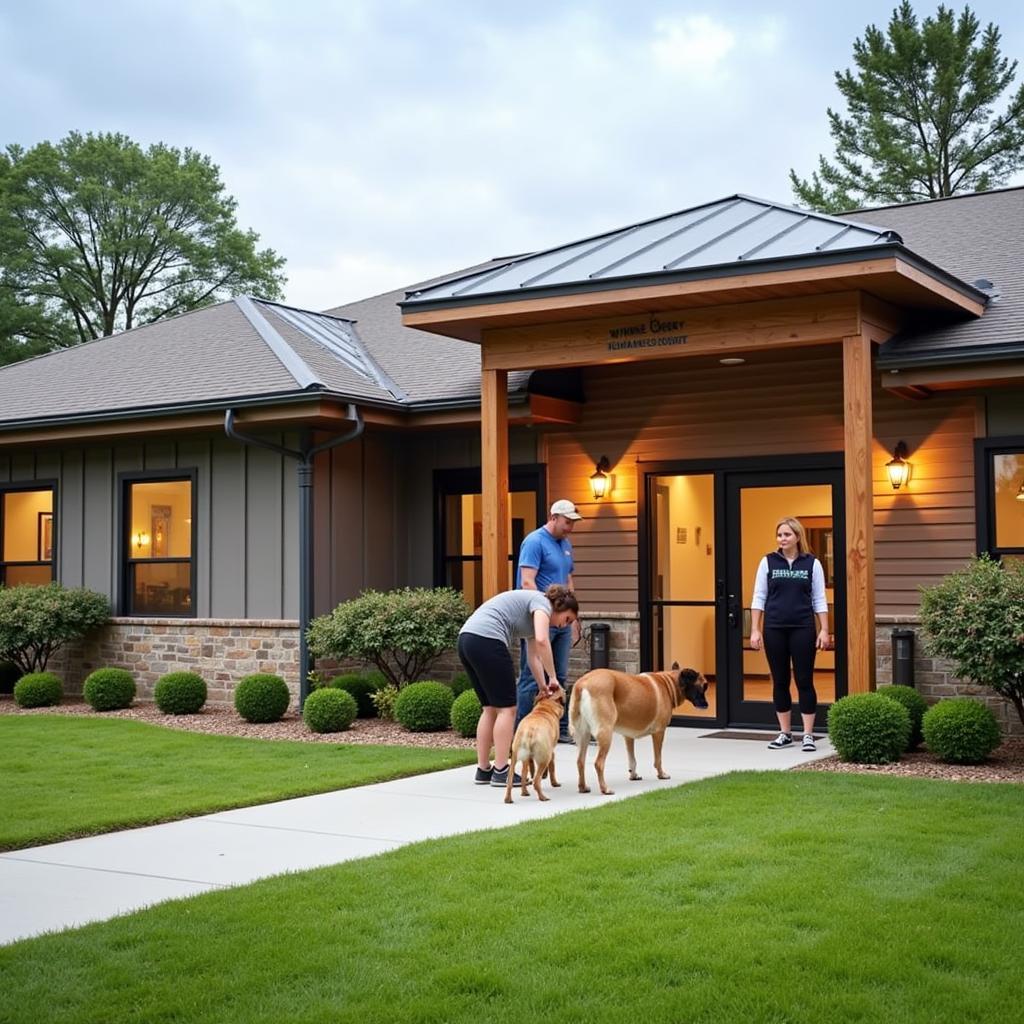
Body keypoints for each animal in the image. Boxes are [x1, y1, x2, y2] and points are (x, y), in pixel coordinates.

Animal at [569, 663, 704, 798]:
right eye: (704, 686)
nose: (706, 704)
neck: (668, 683)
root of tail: (582, 684)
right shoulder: (659, 732)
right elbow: (658, 759)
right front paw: (661, 774)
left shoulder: (628, 736)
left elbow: (632, 759)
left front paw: (633, 775)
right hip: (605, 734)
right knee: (599, 763)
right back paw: (605, 789)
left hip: (583, 736)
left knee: (580, 761)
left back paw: (583, 787)